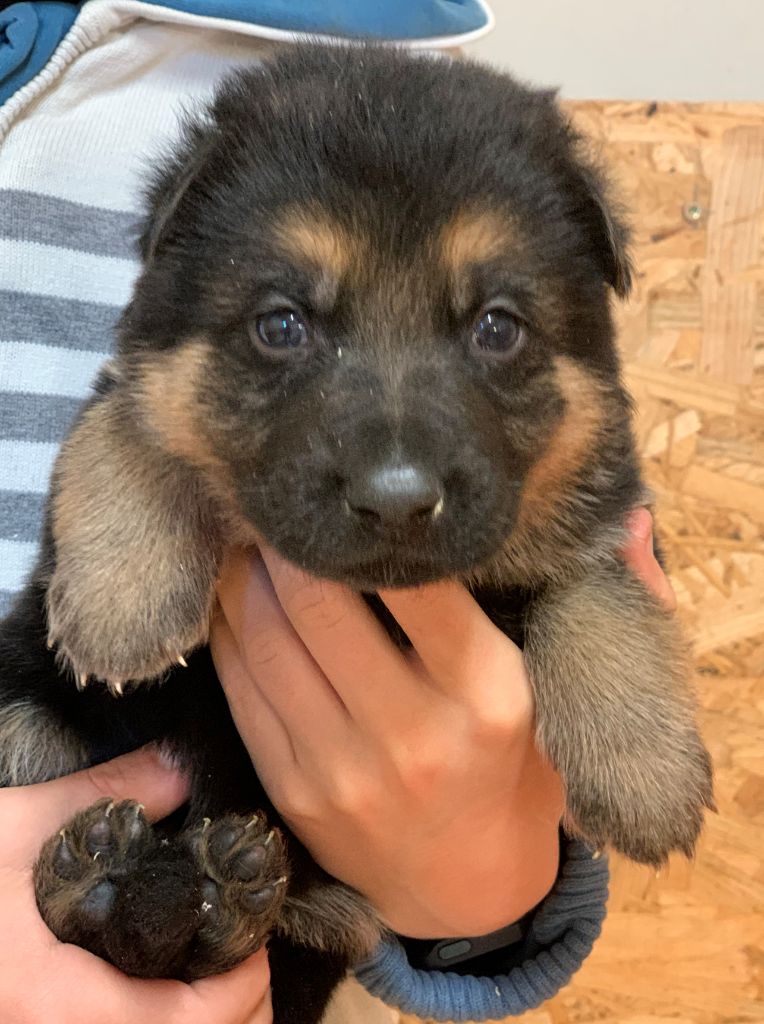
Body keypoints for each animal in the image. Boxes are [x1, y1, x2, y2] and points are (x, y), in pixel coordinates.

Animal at [0, 43, 713, 1023]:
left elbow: (604, 592)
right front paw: (123, 600)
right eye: (282, 324)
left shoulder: (605, 507)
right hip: (28, 725)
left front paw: (645, 768)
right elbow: (126, 433)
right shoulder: (141, 378)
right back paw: (101, 883)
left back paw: (207, 894)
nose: (397, 500)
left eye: (497, 326)